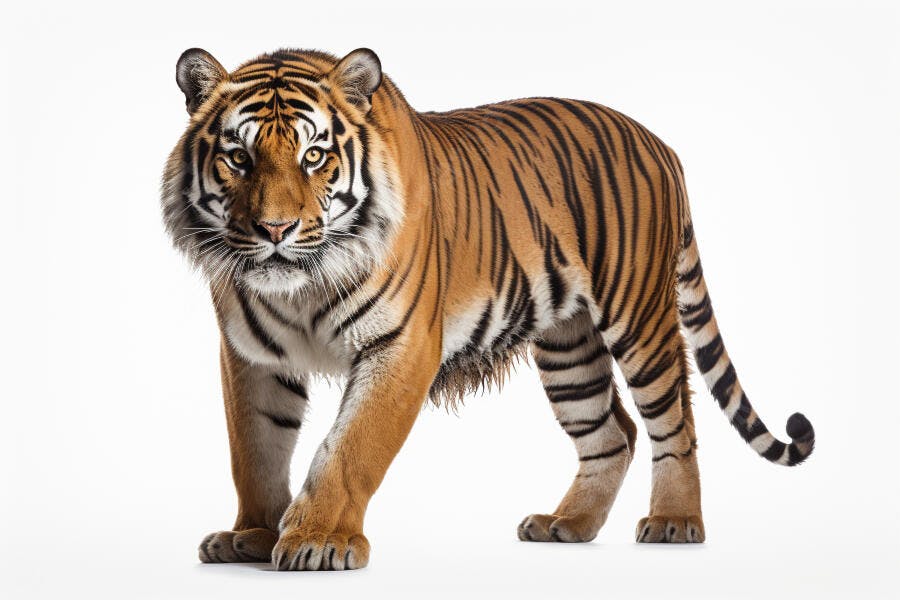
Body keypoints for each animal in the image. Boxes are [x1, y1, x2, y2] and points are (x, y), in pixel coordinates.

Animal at [162, 47, 815, 571]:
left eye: (314, 157)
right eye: (239, 159)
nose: (275, 229)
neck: (300, 287)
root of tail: (661, 144)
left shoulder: (401, 346)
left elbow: (348, 450)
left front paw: (318, 540)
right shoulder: (250, 356)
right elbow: (254, 450)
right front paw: (251, 535)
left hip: (640, 318)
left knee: (673, 421)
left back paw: (676, 522)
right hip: (568, 345)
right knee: (612, 432)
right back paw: (567, 525)